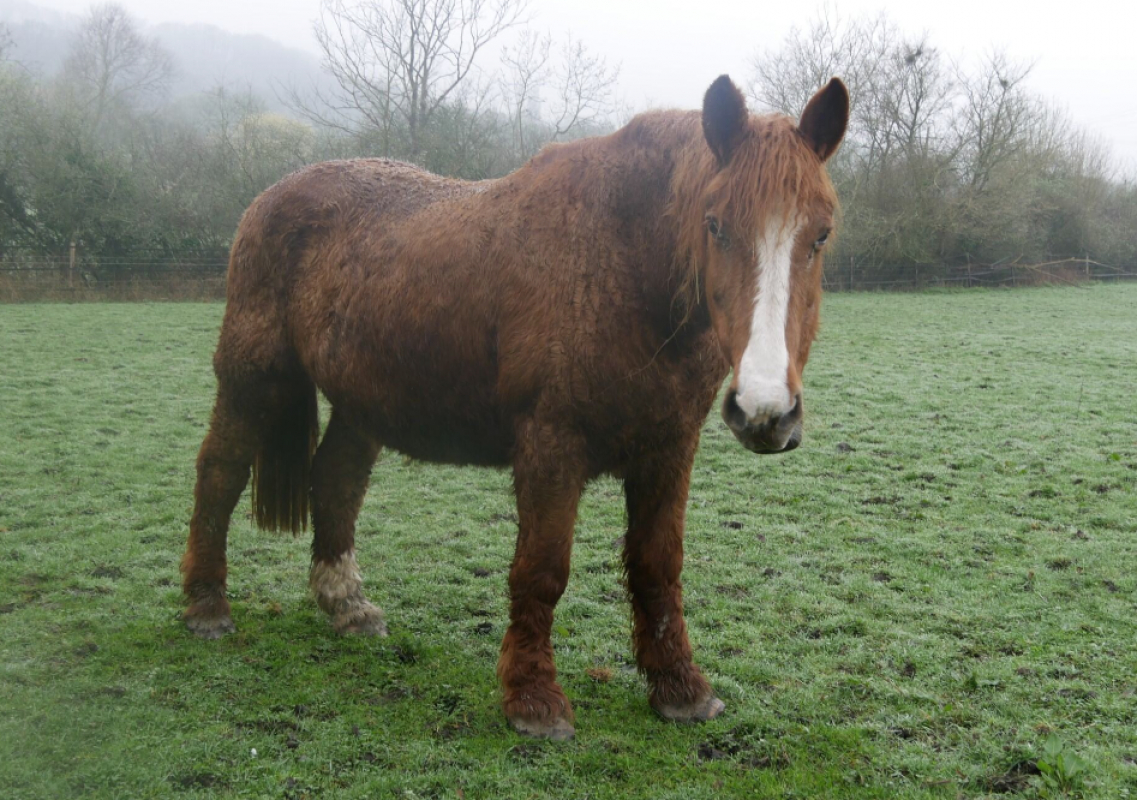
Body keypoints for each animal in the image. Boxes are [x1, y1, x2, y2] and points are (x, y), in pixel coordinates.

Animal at [181, 74, 848, 741]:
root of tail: (271, 196)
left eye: (820, 234)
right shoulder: (551, 445)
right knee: (220, 472)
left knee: (337, 480)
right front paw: (533, 698)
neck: (619, 262)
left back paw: (346, 604)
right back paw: (206, 604)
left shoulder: (669, 448)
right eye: (714, 226)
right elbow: (542, 569)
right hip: (253, 379)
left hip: (361, 399)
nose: (766, 410)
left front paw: (680, 688)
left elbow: (659, 566)